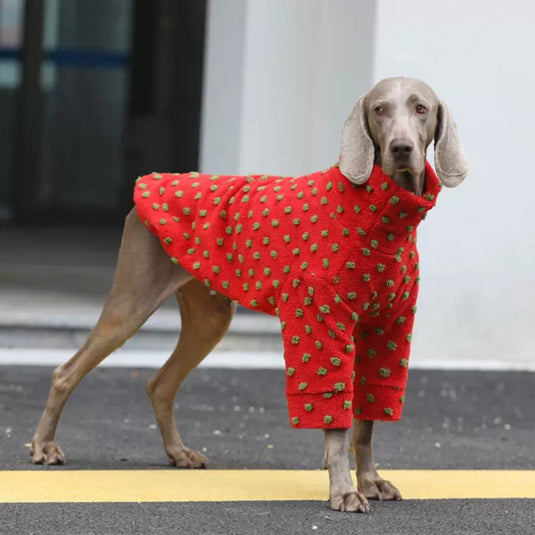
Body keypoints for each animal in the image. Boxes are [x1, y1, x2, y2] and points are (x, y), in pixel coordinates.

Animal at [31, 77, 472, 512]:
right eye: (380, 110)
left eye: (421, 109)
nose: (401, 148)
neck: (381, 217)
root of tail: (149, 182)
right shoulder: (317, 321)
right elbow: (334, 417)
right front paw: (344, 491)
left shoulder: (387, 328)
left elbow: (368, 416)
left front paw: (370, 480)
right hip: (132, 302)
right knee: (66, 372)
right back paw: (44, 446)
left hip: (210, 319)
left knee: (160, 384)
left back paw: (178, 452)